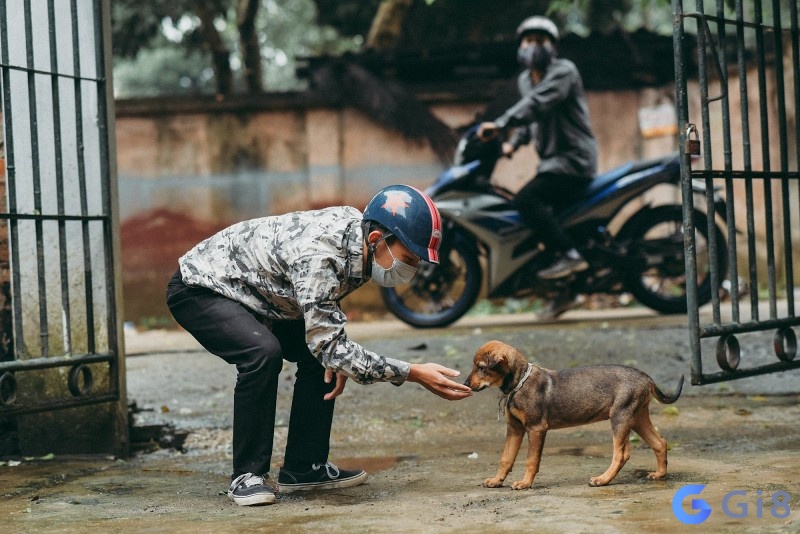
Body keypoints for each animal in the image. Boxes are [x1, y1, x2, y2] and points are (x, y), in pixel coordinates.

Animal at [466, 344, 684, 490]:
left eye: (481, 367)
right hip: (637, 417)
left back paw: (602, 479)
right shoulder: (515, 429)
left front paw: (525, 483)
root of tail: (647, 377)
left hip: (620, 417)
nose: (466, 384)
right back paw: (660, 474)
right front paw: (496, 481)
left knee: (621, 454)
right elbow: (506, 458)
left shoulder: (536, 429)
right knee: (660, 442)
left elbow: (531, 460)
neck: (519, 382)